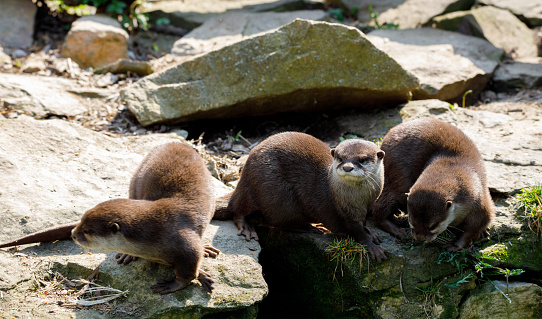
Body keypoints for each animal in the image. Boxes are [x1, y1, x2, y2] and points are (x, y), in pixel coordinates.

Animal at [227, 131, 388, 264]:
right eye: (340, 158)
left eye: (362, 159)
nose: (347, 167)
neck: (360, 200)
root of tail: (244, 173)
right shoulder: (345, 212)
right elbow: (356, 230)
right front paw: (371, 246)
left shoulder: (368, 206)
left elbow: (364, 223)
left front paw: (371, 233)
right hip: (275, 194)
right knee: (244, 211)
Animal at [374, 118, 498, 252]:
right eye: (411, 221)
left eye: (433, 226)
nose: (420, 238)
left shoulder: (481, 206)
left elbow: (473, 231)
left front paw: (455, 244)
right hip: (396, 181)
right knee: (379, 212)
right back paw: (398, 231)